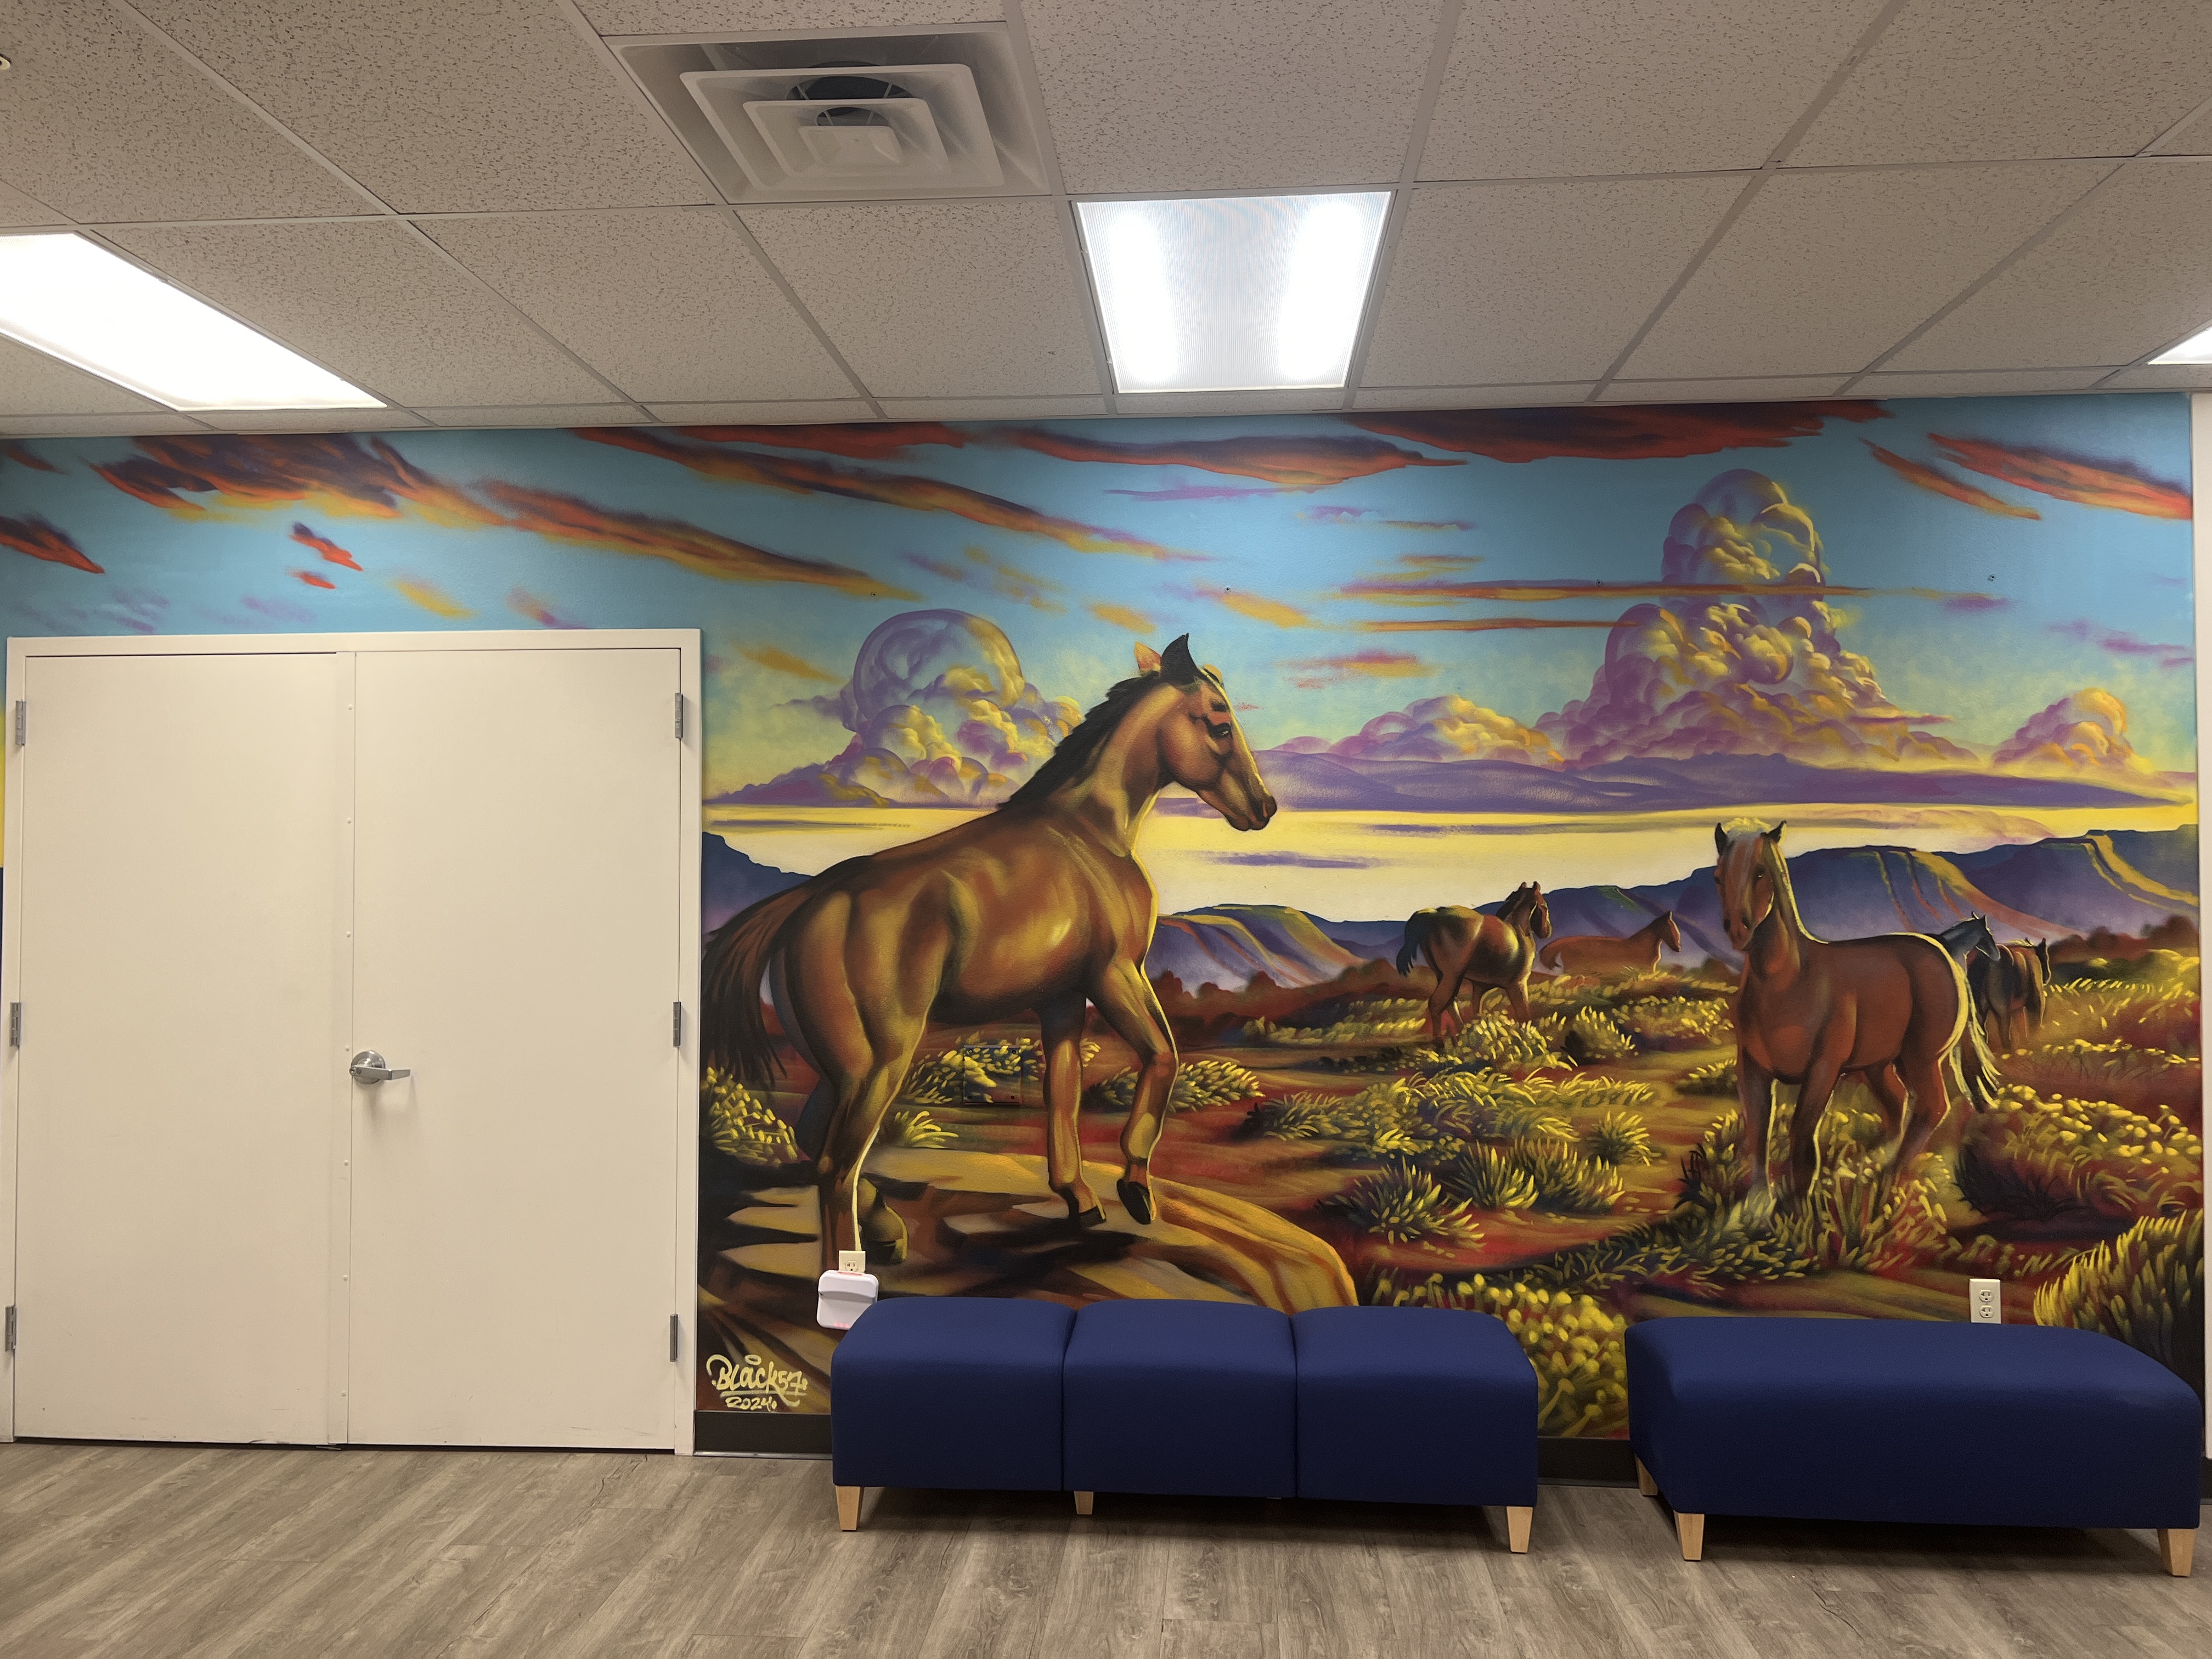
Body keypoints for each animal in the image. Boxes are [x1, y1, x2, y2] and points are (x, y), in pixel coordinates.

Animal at [703, 635, 1276, 1272]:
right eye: (1220, 723)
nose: (1265, 808)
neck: (1090, 831)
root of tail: (814, 901)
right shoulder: (1114, 975)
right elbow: (1163, 1057)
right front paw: (1135, 1189)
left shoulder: (1061, 1000)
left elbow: (1062, 1094)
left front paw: (1080, 1198)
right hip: (877, 1067)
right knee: (836, 1167)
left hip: (840, 1069)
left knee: (811, 1140)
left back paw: (888, 1230)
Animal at [1396, 882, 1552, 1044]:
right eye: (1545, 906)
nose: (1547, 931)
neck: (1518, 929)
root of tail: (1435, 915)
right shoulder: (1518, 985)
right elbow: (1524, 1015)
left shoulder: (1479, 988)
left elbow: (1477, 1012)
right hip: (1452, 977)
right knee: (1436, 1004)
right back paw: (1439, 1041)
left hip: (1444, 977)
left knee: (1450, 1004)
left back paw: (1461, 1034)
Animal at [1715, 823, 1999, 1216]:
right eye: (1717, 877)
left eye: (1761, 873)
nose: (1737, 930)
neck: (1789, 982)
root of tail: (1944, 952)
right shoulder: (1753, 1070)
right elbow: (1759, 1131)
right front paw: (1758, 1205)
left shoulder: (1823, 1071)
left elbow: (1802, 1136)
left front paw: (1799, 1209)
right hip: (1881, 1065)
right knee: (1899, 1104)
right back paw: (1872, 1165)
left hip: (1921, 1059)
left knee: (1931, 1107)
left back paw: (1888, 1180)